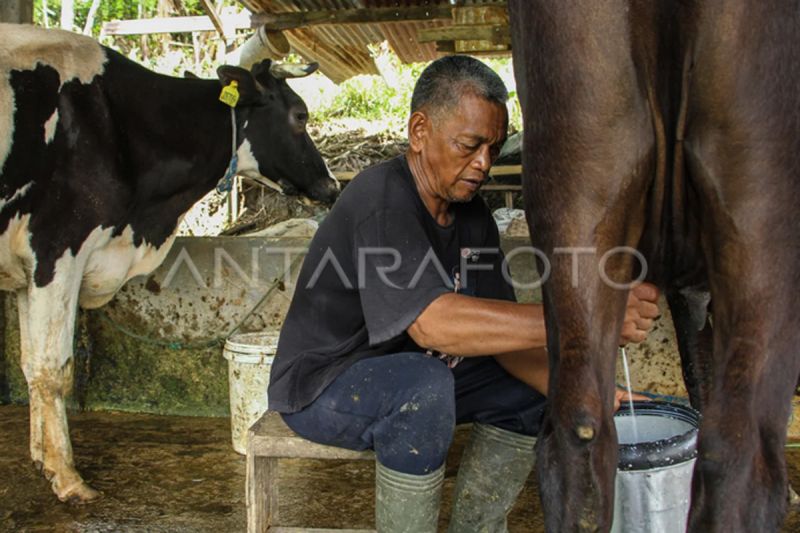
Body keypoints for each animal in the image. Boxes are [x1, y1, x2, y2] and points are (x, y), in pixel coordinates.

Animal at [0, 22, 340, 500]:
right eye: (300, 115)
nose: (331, 186)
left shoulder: (27, 268)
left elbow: (31, 363)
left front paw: (40, 458)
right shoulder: (56, 248)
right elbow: (52, 369)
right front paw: (67, 478)